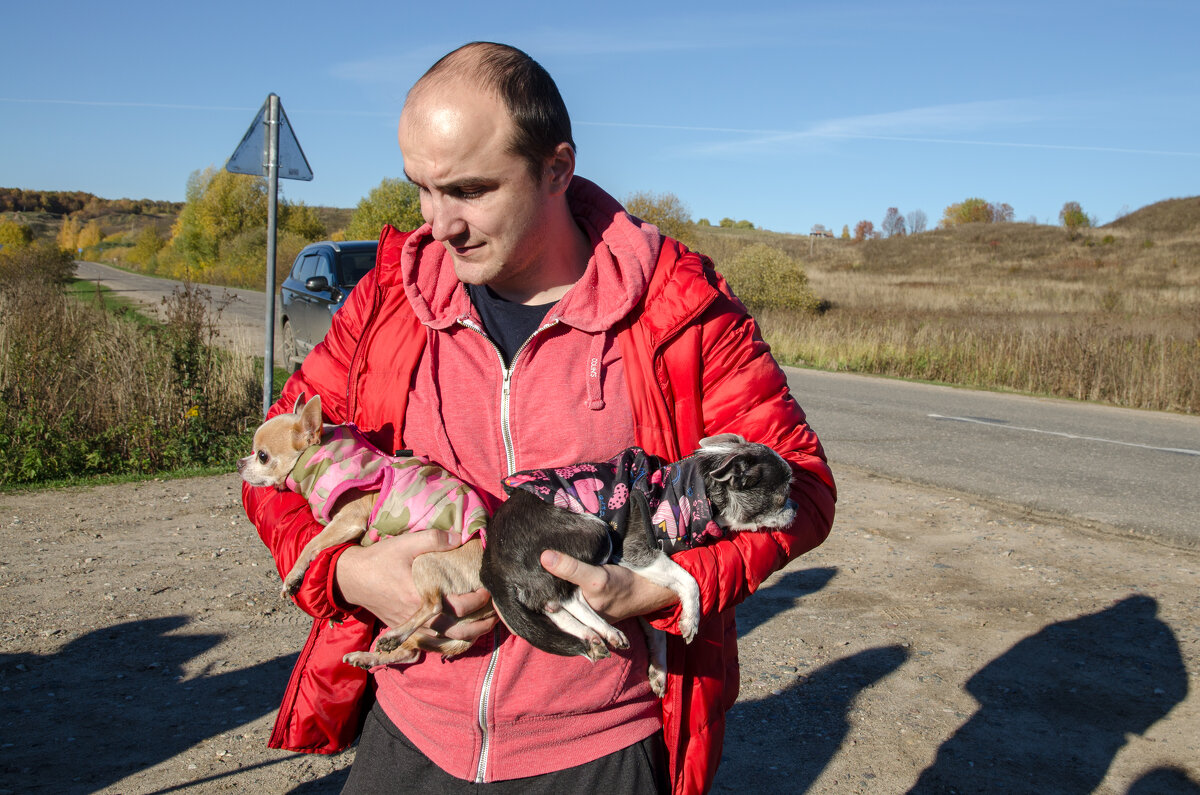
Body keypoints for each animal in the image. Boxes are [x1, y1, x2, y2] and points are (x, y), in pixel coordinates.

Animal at [477, 437, 796, 696]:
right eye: (782, 497)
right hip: (595, 532)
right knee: (570, 597)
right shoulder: (636, 553)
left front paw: (660, 672)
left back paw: (589, 636)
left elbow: (658, 633)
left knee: (553, 605)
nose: (794, 509)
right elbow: (689, 580)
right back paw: (607, 630)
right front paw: (691, 618)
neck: (695, 491)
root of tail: (491, 563)